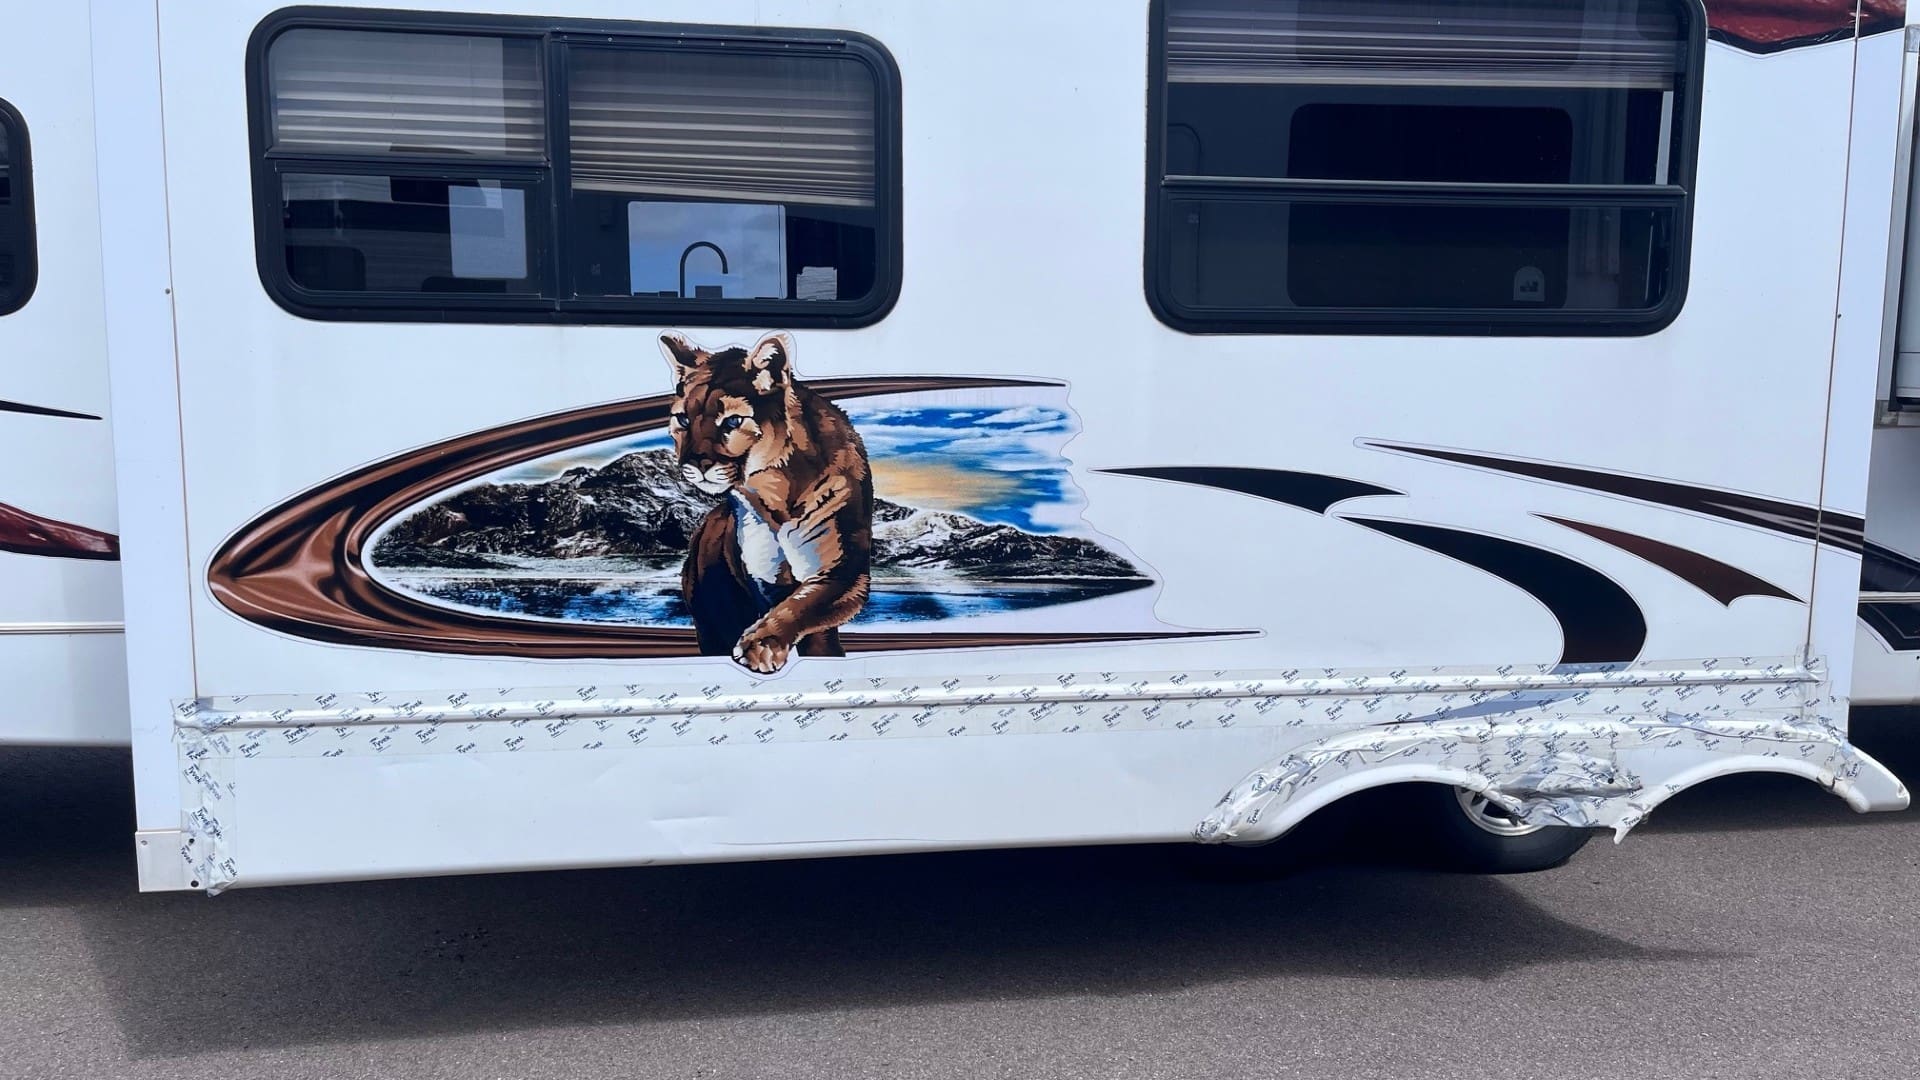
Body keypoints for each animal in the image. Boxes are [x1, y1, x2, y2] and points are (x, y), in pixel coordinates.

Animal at [660, 331, 873, 674]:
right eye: (683, 419)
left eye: (733, 421)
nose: (696, 464)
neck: (773, 493)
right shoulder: (765, 579)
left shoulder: (843, 570)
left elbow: (802, 605)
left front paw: (760, 646)